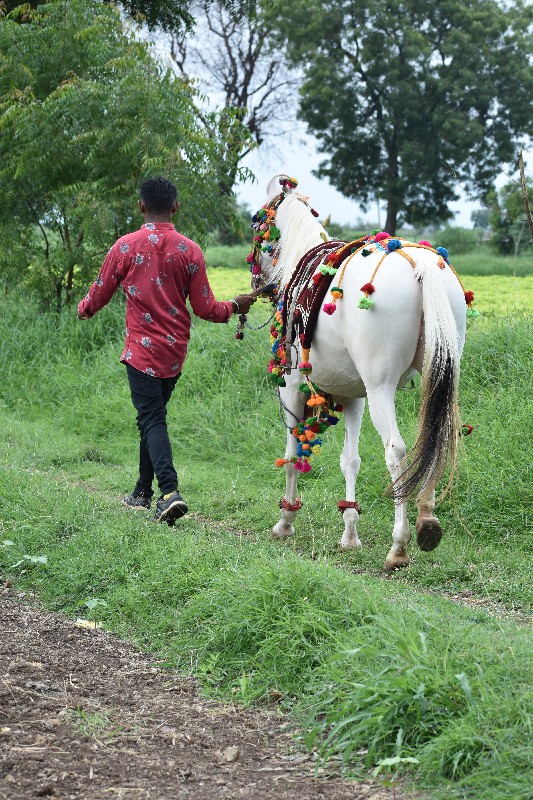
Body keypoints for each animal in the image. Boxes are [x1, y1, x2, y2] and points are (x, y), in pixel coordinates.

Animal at [247, 177, 468, 568]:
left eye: (256, 223)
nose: (257, 284)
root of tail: (422, 266)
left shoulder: (292, 387)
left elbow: (291, 454)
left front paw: (285, 521)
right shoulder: (354, 396)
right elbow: (350, 461)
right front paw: (349, 533)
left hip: (381, 387)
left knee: (396, 451)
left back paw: (400, 545)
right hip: (438, 373)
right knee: (438, 434)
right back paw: (427, 521)